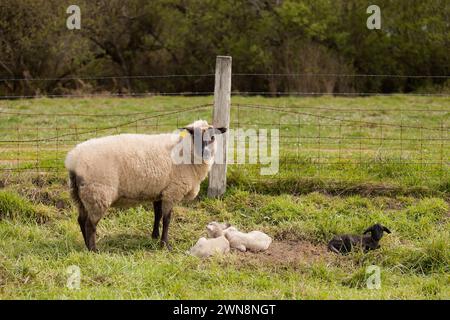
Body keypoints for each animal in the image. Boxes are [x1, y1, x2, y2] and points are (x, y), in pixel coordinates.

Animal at [65, 119, 227, 251]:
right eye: (195, 136)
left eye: (213, 137)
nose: (206, 153)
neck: (185, 152)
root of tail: (73, 160)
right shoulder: (172, 192)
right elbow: (167, 219)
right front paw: (165, 244)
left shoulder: (160, 191)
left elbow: (157, 215)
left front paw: (154, 236)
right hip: (98, 194)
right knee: (90, 224)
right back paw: (94, 250)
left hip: (82, 195)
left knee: (81, 220)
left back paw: (86, 246)